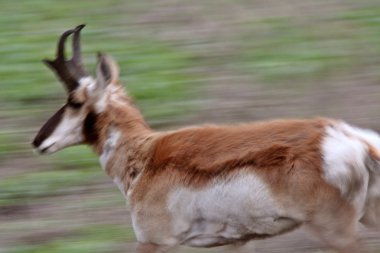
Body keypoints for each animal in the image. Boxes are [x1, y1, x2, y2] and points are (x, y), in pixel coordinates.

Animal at [32, 24, 380, 253]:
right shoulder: (236, 243)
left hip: (334, 231)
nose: (37, 141)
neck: (145, 155)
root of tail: (352, 140)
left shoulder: (152, 242)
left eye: (74, 101)